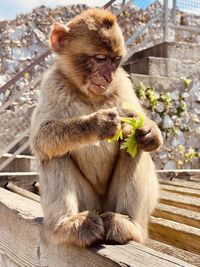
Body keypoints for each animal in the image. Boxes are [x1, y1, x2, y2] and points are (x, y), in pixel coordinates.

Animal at [30, 8, 162, 249]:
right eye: (100, 59)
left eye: (115, 60)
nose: (108, 76)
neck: (88, 95)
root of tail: (100, 207)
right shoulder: (52, 83)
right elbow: (42, 137)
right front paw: (98, 123)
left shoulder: (123, 82)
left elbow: (135, 125)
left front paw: (150, 132)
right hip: (88, 202)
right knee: (54, 154)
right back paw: (67, 224)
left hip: (112, 202)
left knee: (133, 145)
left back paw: (128, 223)